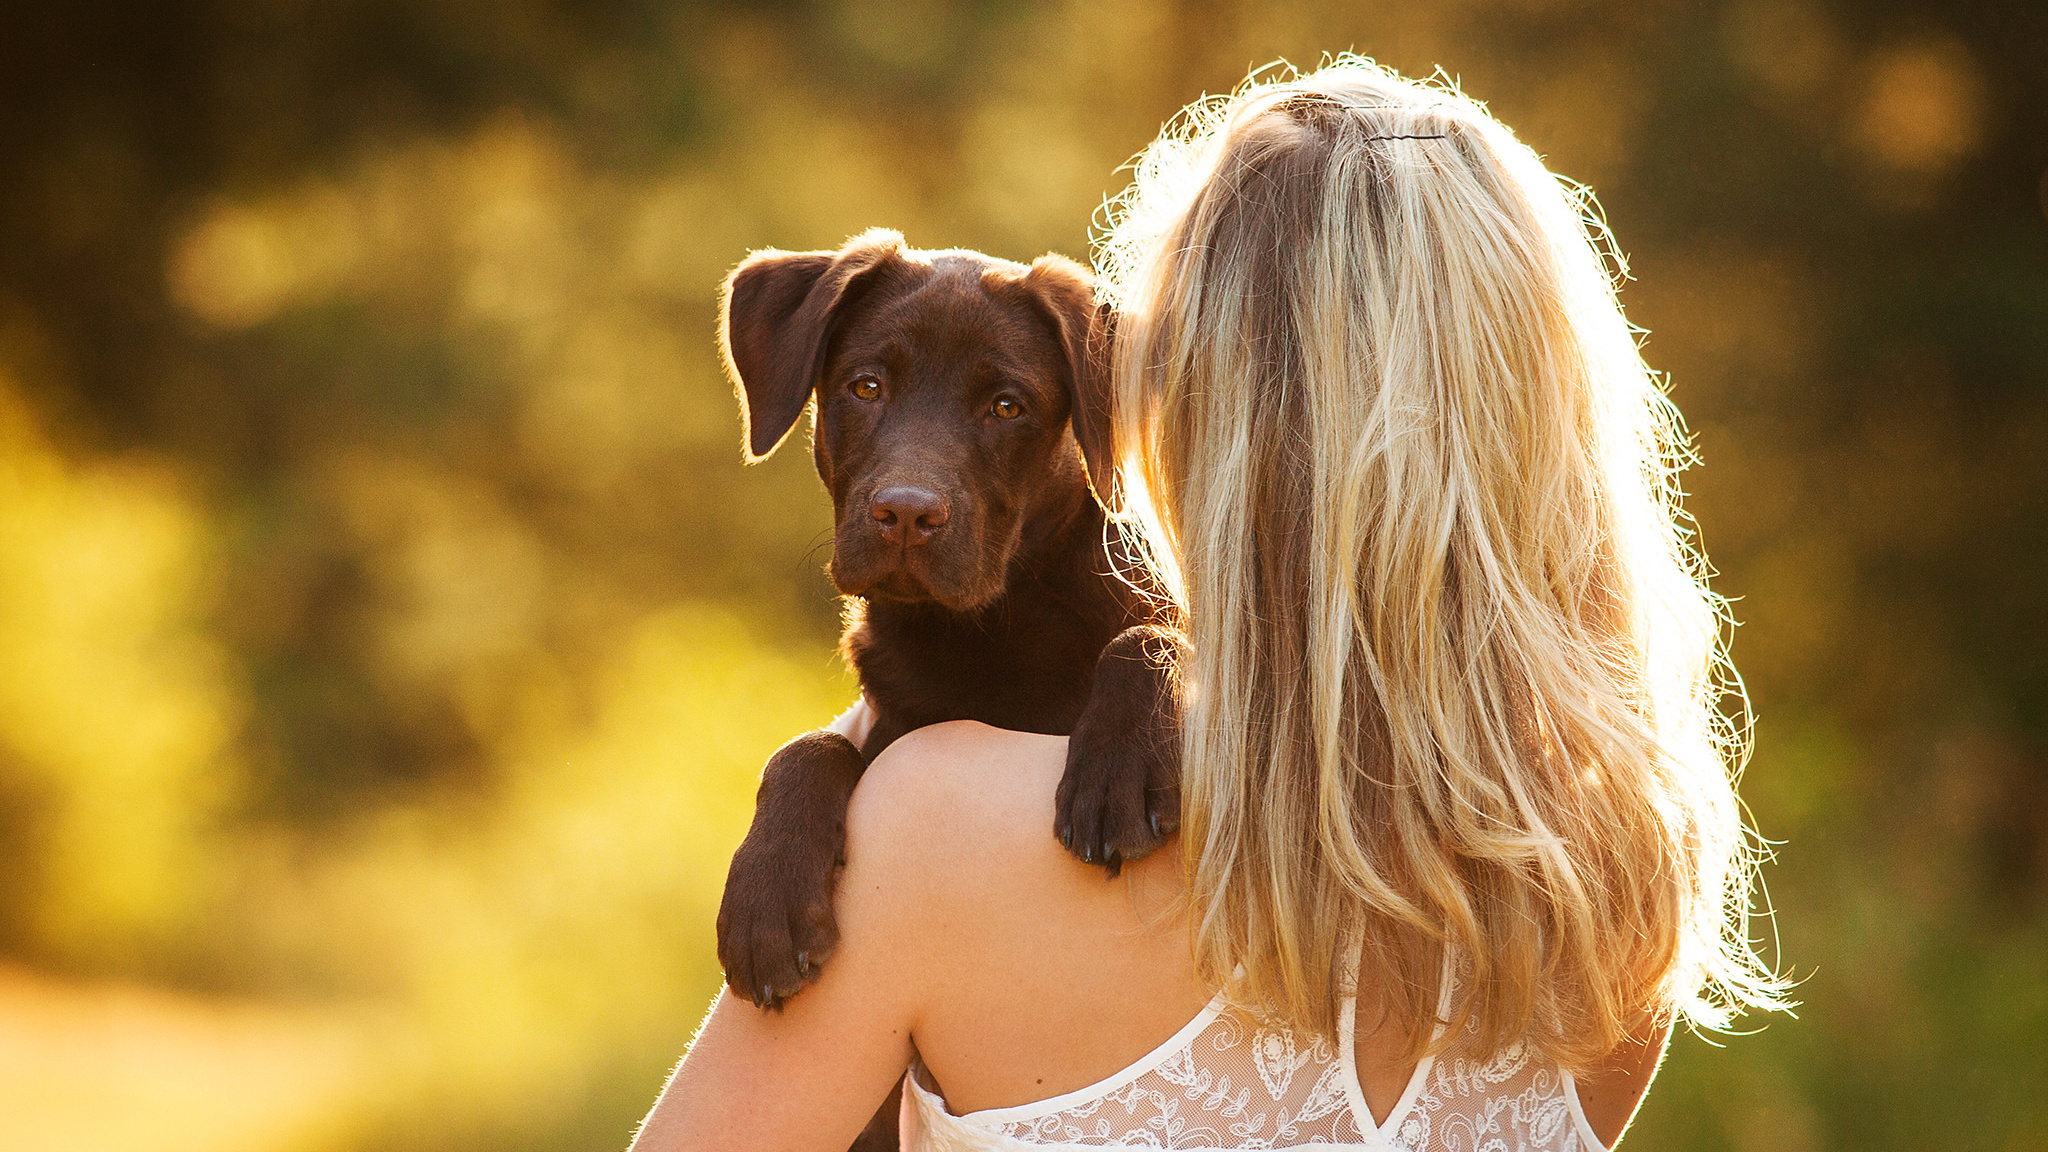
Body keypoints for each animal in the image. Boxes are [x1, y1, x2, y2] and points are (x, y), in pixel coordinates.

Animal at [712, 226, 1179, 1131]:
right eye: (866, 387)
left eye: (1007, 407)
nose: (905, 513)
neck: (984, 631)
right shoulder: (895, 728)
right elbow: (808, 746)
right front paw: (766, 900)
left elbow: (1148, 636)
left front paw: (1116, 777)